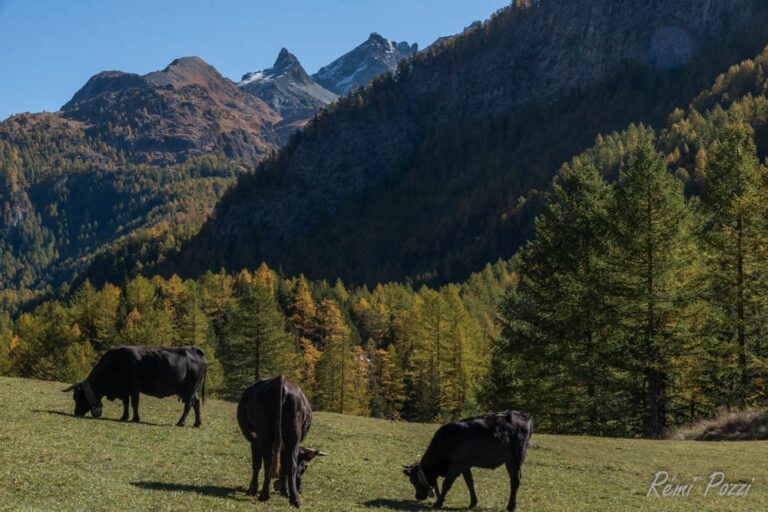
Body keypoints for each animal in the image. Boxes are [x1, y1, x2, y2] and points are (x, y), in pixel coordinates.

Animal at [62, 346, 207, 426]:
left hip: (189, 389)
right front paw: (124, 417)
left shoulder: (133, 388)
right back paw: (197, 423)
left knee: (189, 405)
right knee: (196, 403)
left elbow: (134, 403)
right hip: (191, 390)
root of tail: (194, 349)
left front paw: (135, 418)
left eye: (77, 396)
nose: (76, 412)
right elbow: (126, 403)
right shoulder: (124, 390)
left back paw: (181, 422)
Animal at [237, 376, 328, 508]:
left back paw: (265, 494)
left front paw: (252, 490)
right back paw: (294, 499)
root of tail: (280, 379)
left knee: (268, 462)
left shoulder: (255, 441)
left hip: (264, 435)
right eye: (305, 467)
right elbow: (283, 467)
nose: (300, 488)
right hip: (292, 436)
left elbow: (257, 464)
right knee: (290, 464)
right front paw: (285, 491)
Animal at [402, 412, 536, 512]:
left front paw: (438, 503)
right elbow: (469, 482)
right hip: (509, 461)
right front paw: (473, 503)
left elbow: (447, 484)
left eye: (413, 480)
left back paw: (511, 506)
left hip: (517, 457)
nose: (417, 497)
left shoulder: (456, 465)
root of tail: (524, 414)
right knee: (514, 479)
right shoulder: (465, 465)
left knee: (515, 480)